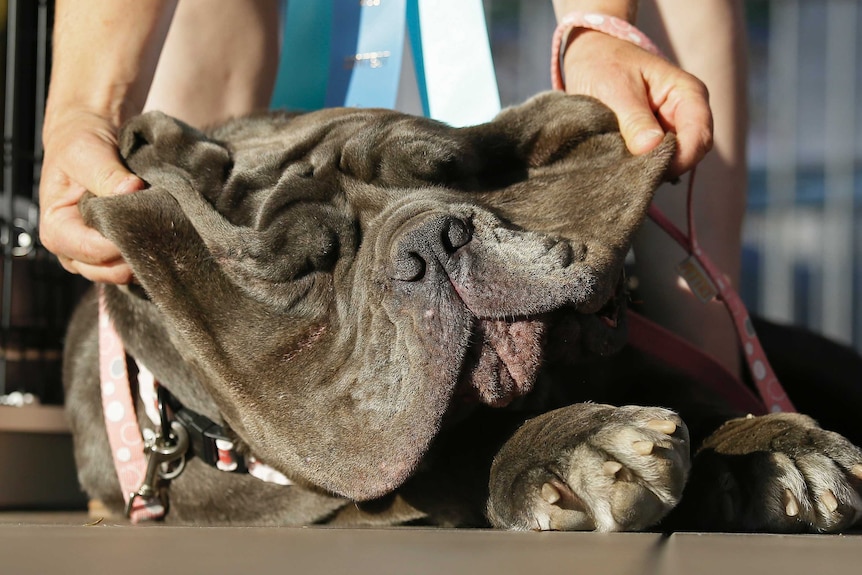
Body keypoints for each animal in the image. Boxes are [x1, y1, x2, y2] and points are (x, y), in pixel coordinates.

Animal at [64, 93, 862, 532]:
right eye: (307, 265)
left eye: (449, 172)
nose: (431, 240)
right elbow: (463, 456)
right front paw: (572, 447)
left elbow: (696, 388)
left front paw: (771, 448)